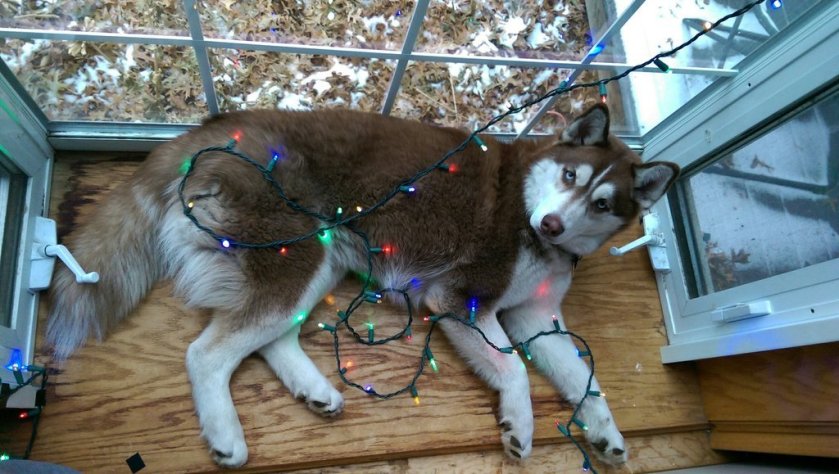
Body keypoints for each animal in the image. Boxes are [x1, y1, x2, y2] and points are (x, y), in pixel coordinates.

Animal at [47, 104, 678, 468]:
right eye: (569, 175)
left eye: (602, 203)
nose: (550, 224)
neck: (528, 208)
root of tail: (225, 123)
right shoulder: (460, 301)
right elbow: (515, 370)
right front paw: (519, 423)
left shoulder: (535, 317)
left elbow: (584, 379)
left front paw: (606, 432)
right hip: (297, 257)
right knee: (207, 353)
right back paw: (226, 434)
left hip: (319, 261)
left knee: (269, 338)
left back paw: (313, 390)